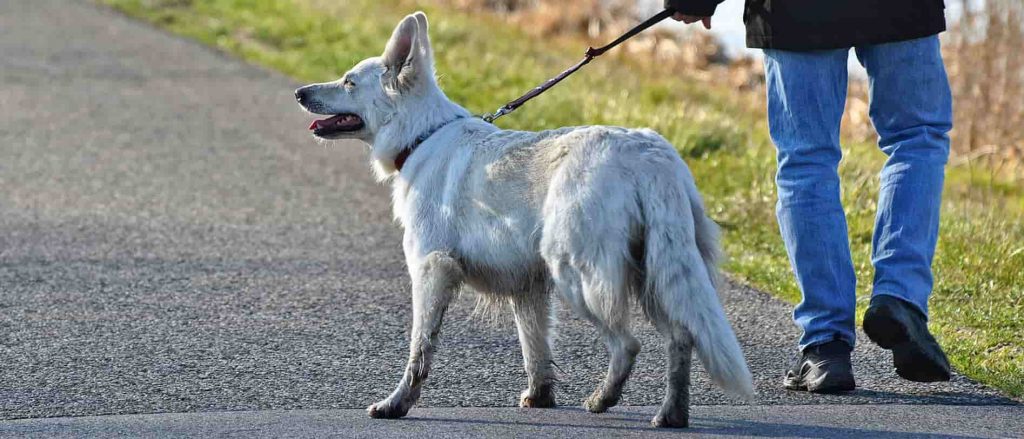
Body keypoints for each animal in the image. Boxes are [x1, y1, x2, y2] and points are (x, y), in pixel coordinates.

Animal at [296, 11, 753, 427]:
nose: (299, 92)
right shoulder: (527, 287)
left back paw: (602, 399)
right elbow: (536, 350)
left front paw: (397, 404)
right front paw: (540, 397)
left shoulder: (430, 271)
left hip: (578, 275)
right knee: (681, 337)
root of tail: (650, 155)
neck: (421, 135)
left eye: (348, 81)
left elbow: (419, 349)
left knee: (628, 344)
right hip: (655, 274)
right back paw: (671, 414)